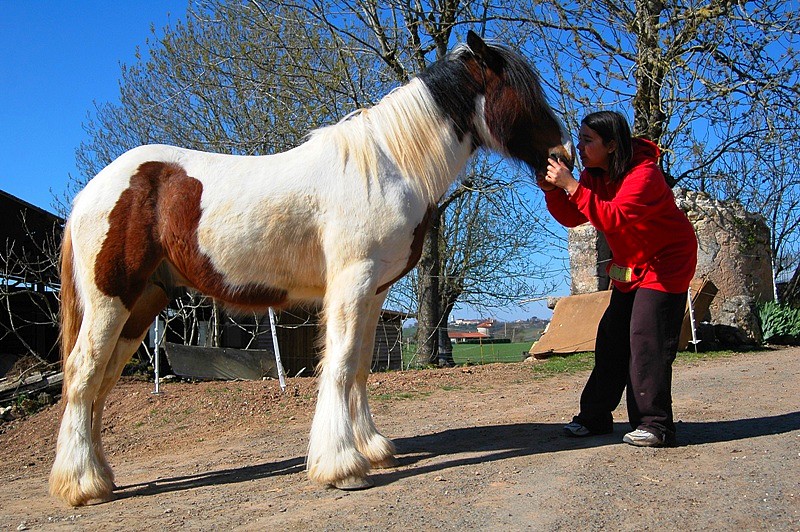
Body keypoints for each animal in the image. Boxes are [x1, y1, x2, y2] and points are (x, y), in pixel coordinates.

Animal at [50, 31, 572, 504]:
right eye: (522, 93)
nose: (563, 155)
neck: (387, 166)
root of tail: (91, 192)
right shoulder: (351, 283)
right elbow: (338, 366)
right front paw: (342, 467)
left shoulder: (375, 291)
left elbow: (359, 366)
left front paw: (372, 449)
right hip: (111, 300)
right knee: (82, 372)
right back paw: (81, 486)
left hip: (143, 302)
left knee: (101, 382)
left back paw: (99, 477)